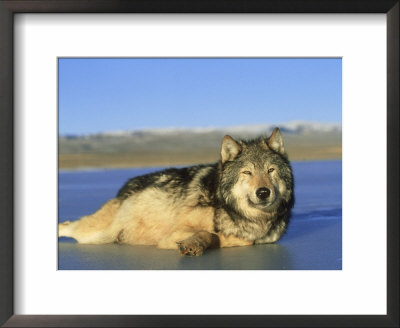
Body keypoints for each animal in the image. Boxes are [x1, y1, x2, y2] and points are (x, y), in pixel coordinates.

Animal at [58, 128, 294, 256]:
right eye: (247, 172)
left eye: (270, 170)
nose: (263, 192)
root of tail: (124, 187)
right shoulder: (174, 232)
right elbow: (209, 233)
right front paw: (194, 244)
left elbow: (235, 239)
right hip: (94, 233)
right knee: (66, 225)